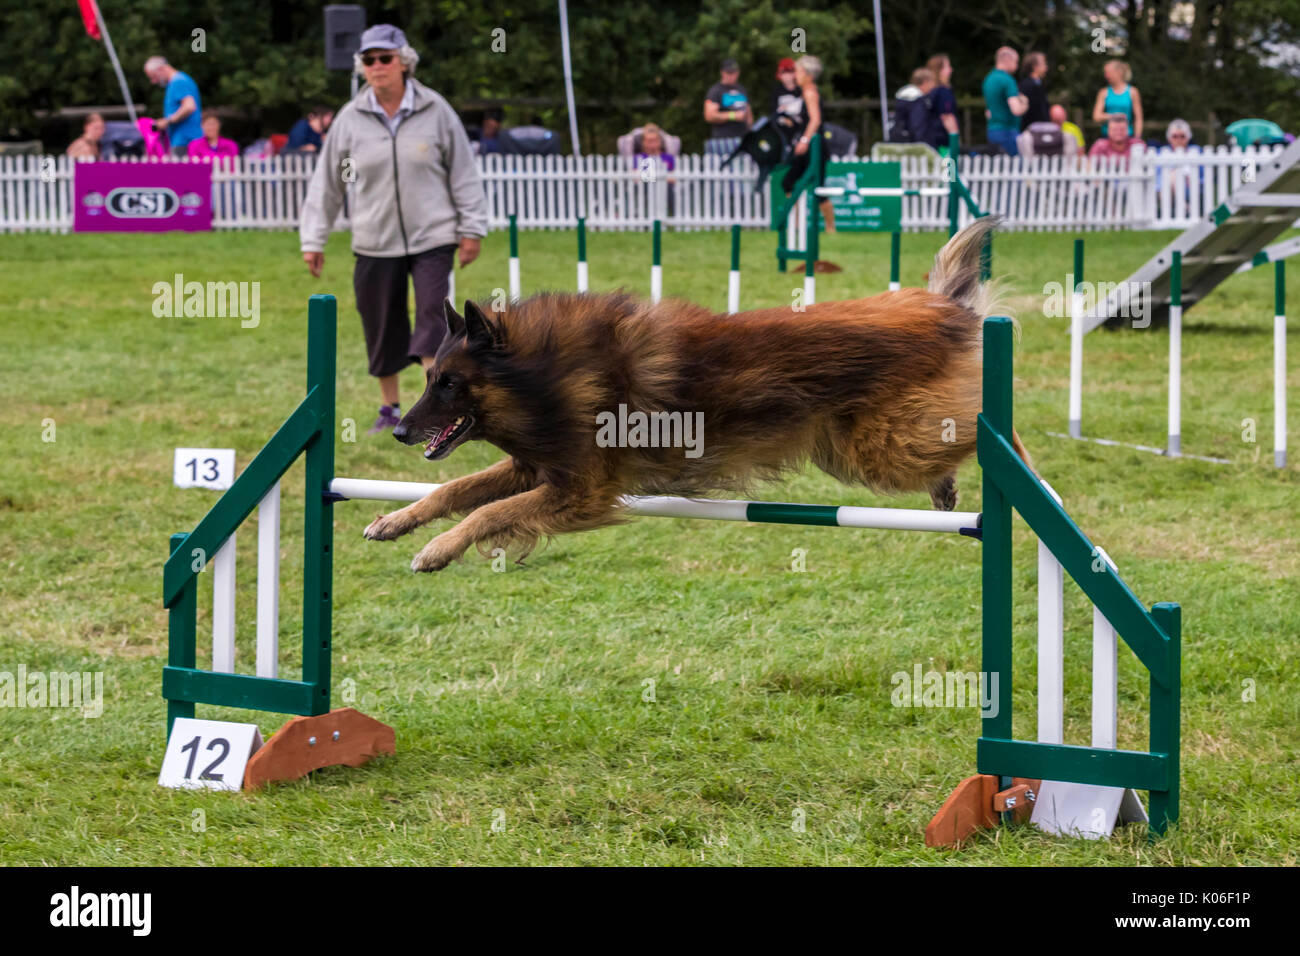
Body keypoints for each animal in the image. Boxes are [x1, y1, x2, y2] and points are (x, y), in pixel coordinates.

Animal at [364, 218, 1024, 567]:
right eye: (429, 379)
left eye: (450, 384)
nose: (399, 431)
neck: (542, 370)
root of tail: (935, 304)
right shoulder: (536, 466)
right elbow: (454, 489)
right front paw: (397, 520)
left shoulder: (578, 491)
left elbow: (487, 511)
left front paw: (438, 549)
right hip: (857, 450)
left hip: (878, 448)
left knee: (985, 427)